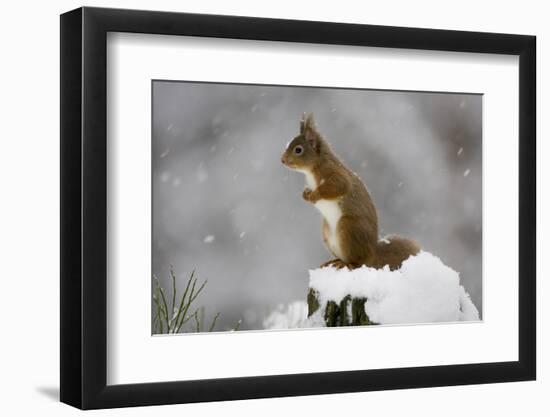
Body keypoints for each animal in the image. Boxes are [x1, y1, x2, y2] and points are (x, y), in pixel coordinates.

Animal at [282, 114, 420, 270]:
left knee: (357, 262)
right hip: (327, 232)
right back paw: (334, 261)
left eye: (298, 150)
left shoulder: (333, 173)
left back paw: (345, 263)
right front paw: (305, 195)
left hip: (348, 227)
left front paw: (315, 195)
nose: (282, 160)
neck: (313, 168)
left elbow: (339, 186)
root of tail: (372, 254)